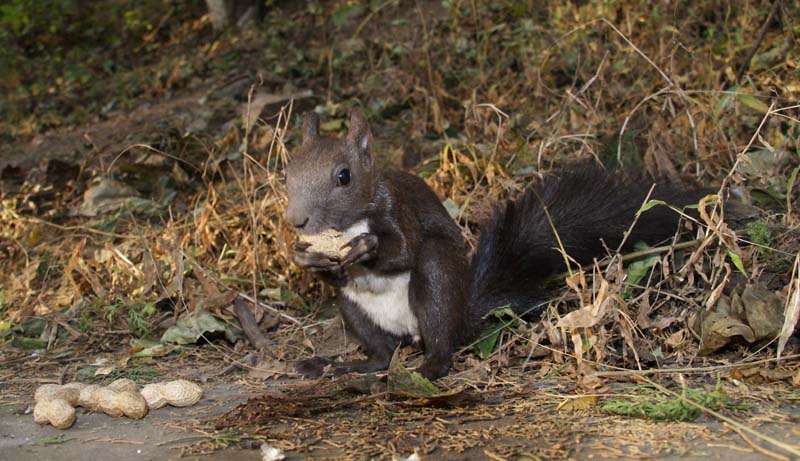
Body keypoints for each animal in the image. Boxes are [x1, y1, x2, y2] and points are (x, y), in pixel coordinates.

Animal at [290, 109, 724, 380]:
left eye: (344, 176)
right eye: (288, 169)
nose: (295, 220)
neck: (351, 222)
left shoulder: (398, 208)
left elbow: (403, 250)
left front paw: (368, 247)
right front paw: (307, 260)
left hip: (438, 279)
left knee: (439, 333)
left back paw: (430, 365)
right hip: (355, 311)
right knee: (381, 355)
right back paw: (342, 366)